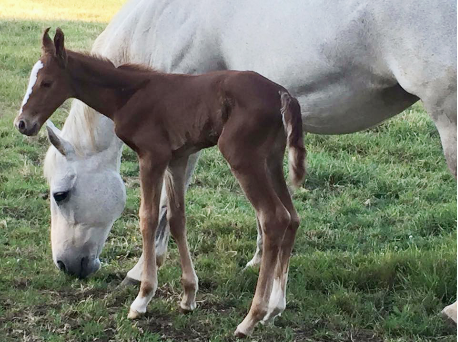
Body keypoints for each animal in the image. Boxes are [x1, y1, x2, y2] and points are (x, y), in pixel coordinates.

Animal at [15, 28, 308, 336]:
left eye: (47, 82)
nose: (22, 123)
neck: (129, 94)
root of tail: (282, 93)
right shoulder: (177, 159)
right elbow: (177, 218)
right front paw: (188, 296)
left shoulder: (151, 157)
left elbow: (149, 217)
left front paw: (142, 299)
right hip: (271, 160)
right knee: (292, 217)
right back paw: (274, 309)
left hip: (243, 157)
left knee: (273, 217)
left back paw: (251, 318)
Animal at [41, 0, 456, 324]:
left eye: (60, 194)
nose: (66, 266)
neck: (166, 19)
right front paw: (259, 262)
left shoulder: (176, 138)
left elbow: (163, 207)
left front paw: (142, 273)